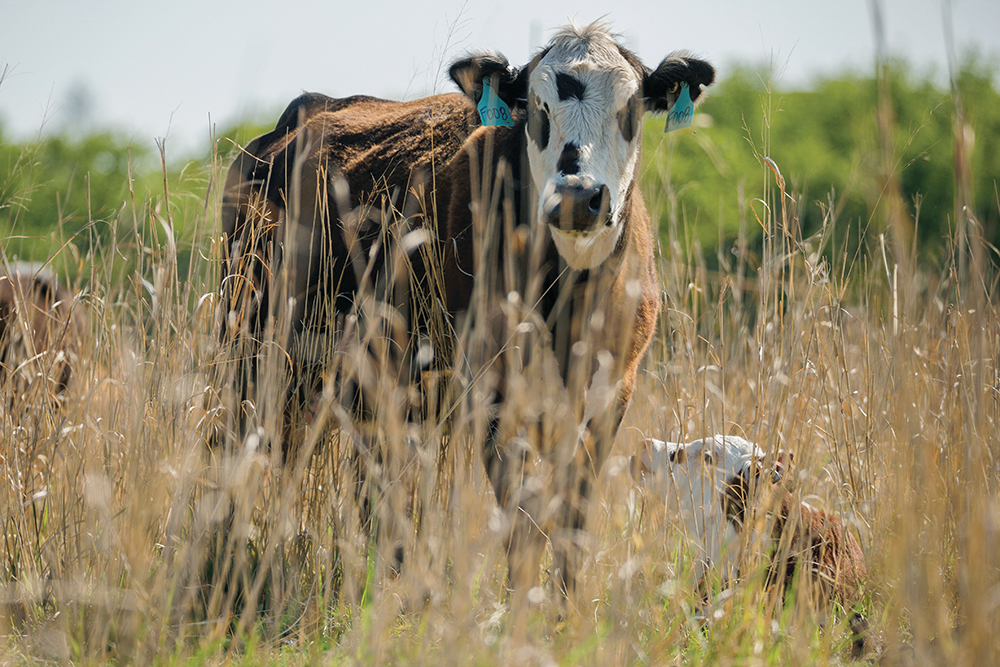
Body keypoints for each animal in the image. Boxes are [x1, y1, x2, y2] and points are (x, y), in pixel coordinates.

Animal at [214, 21, 715, 610]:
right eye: (537, 108)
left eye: (631, 107)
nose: (577, 197)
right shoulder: (493, 390)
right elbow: (522, 517)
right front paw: (523, 606)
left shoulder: (612, 392)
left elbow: (571, 513)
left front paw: (565, 611)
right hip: (256, 356)